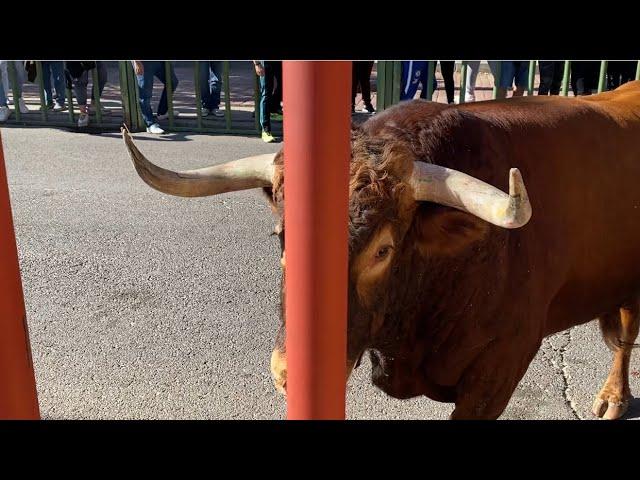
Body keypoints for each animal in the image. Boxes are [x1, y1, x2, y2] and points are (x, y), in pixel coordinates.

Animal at [122, 80, 640, 418]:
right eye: (283, 238)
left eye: (383, 251)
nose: (289, 372)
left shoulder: (500, 369)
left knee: (627, 334)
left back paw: (613, 397)